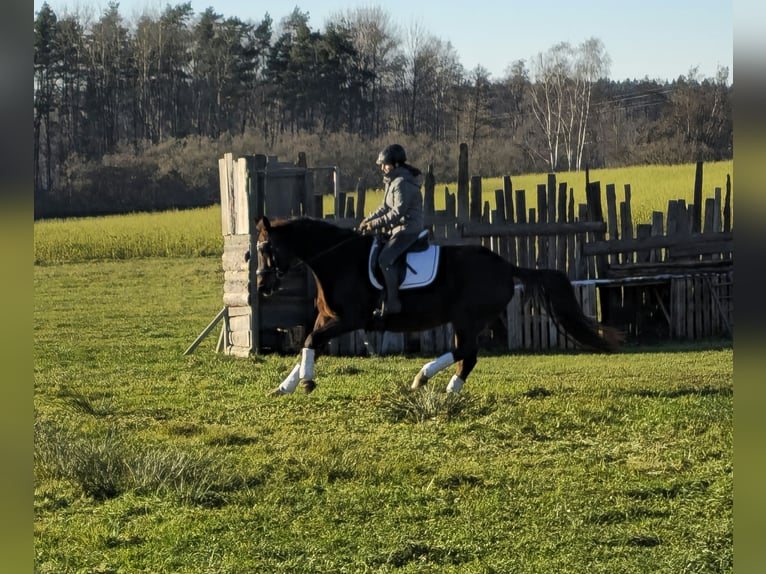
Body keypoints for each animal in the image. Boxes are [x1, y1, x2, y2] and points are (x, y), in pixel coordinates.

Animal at [255, 216, 620, 396]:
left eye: (267, 249)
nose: (262, 286)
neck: (338, 259)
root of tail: (505, 265)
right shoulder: (327, 318)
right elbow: (308, 345)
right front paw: (286, 386)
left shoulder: (349, 319)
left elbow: (309, 341)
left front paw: (306, 383)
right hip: (473, 320)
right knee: (472, 353)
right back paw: (450, 388)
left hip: (466, 318)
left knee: (467, 351)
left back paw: (424, 377)